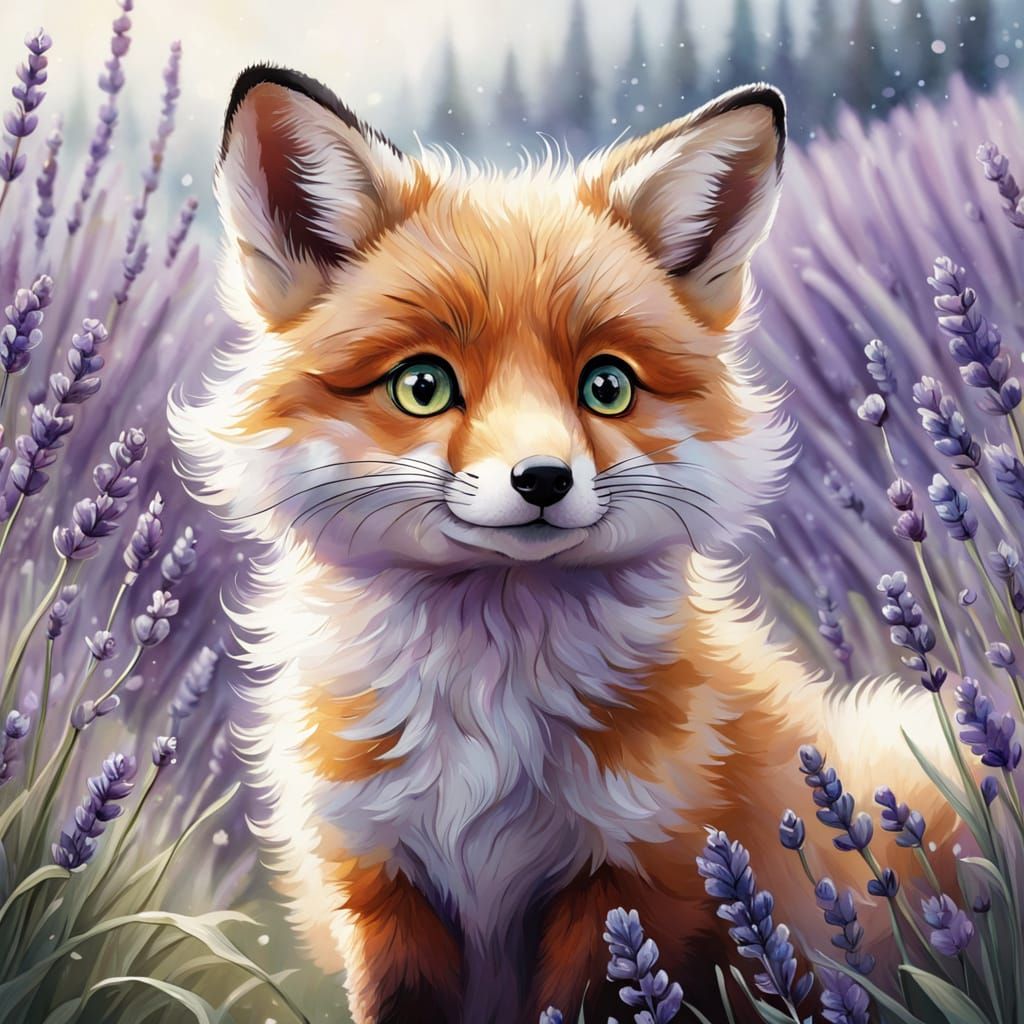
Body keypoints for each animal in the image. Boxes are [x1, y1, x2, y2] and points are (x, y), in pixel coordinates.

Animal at [172, 66, 958, 1024]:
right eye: (423, 385)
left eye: (607, 386)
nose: (543, 479)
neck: (484, 706)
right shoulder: (381, 884)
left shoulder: (628, 878)